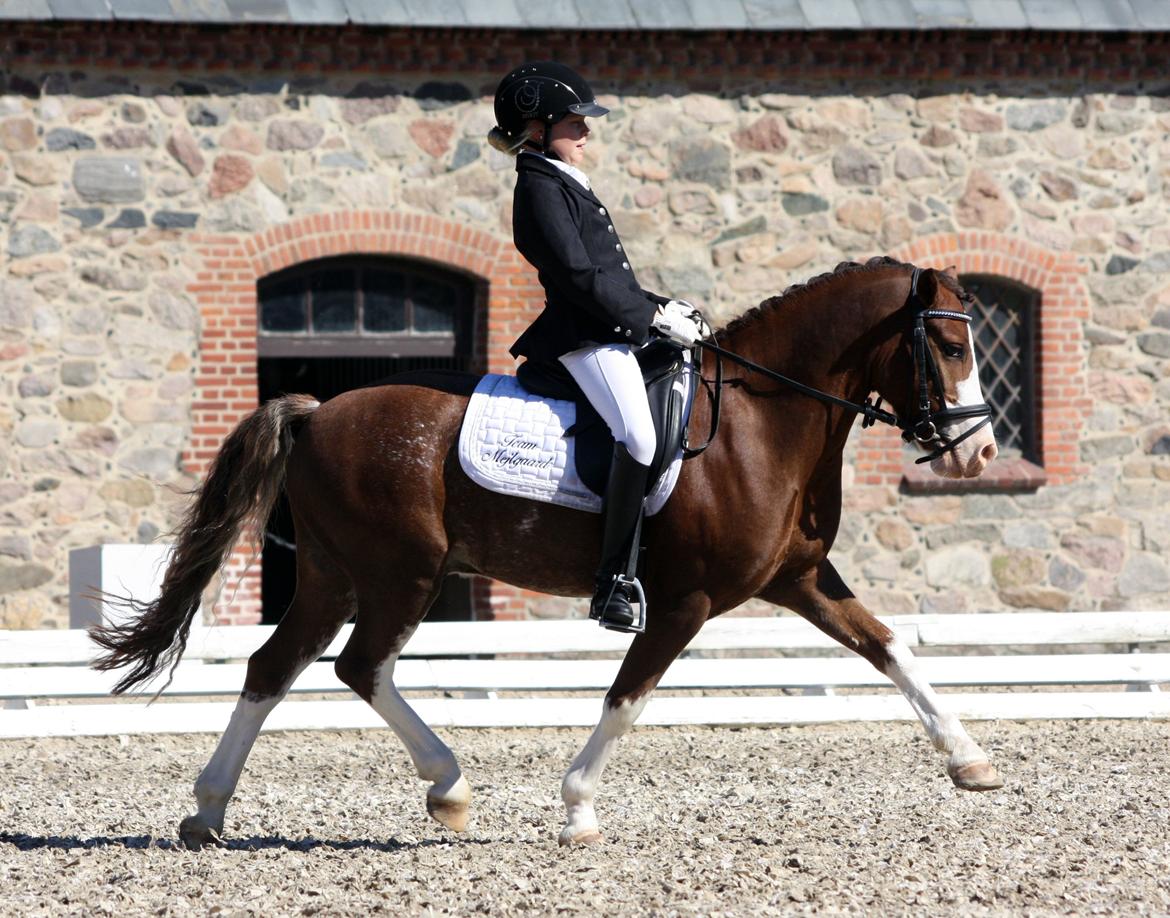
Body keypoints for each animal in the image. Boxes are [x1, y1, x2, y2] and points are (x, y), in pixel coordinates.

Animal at [91, 256, 1002, 850]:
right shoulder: (684, 603)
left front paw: (972, 762)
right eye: (951, 348)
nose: (981, 455)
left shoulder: (800, 578)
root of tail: (319, 410)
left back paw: (209, 810)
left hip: (333, 575)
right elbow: (627, 698)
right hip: (400, 574)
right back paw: (449, 789)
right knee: (358, 666)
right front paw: (578, 810)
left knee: (273, 668)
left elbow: (889, 648)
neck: (763, 419)